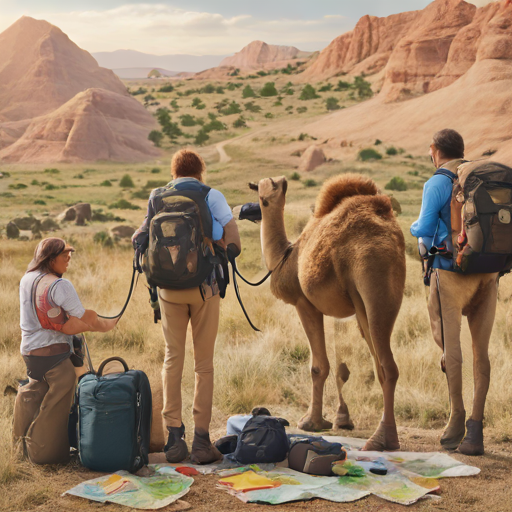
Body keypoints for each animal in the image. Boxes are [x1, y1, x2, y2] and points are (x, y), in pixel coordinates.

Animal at [250, 174, 406, 450]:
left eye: (264, 189)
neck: (285, 256)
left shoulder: (305, 303)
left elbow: (318, 366)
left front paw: (311, 422)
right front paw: (335, 419)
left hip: (367, 285)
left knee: (385, 364)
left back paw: (380, 439)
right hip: (386, 293)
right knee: (383, 365)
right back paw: (388, 437)